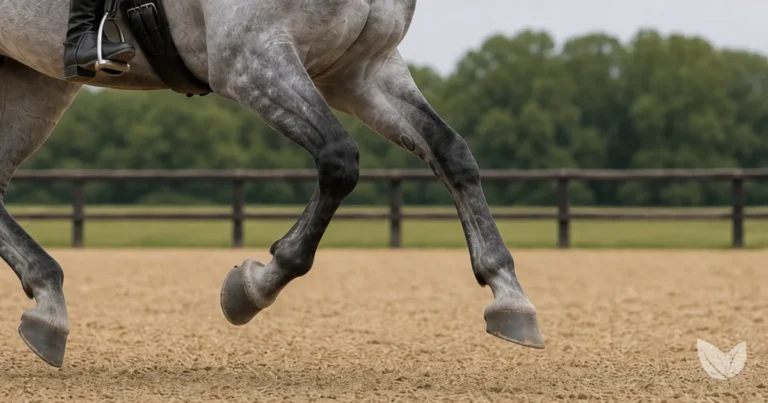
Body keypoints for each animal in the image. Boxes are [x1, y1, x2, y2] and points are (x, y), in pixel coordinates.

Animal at [0, 0, 545, 368]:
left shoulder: (361, 71)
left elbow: (452, 153)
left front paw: (508, 294)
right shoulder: (250, 60)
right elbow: (339, 160)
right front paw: (254, 286)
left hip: (34, 79)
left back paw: (48, 304)